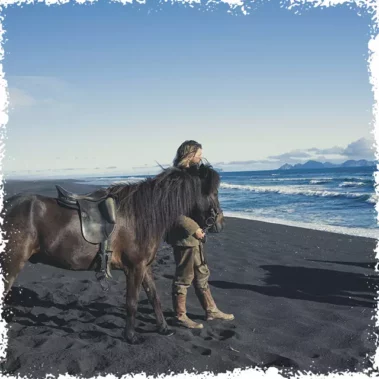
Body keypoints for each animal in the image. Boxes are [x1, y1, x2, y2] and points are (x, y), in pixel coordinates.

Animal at [0, 165, 226, 346]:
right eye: (214, 191)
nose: (219, 224)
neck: (140, 216)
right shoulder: (134, 268)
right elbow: (132, 302)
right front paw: (131, 336)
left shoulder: (145, 267)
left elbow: (154, 297)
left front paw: (164, 328)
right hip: (10, 266)